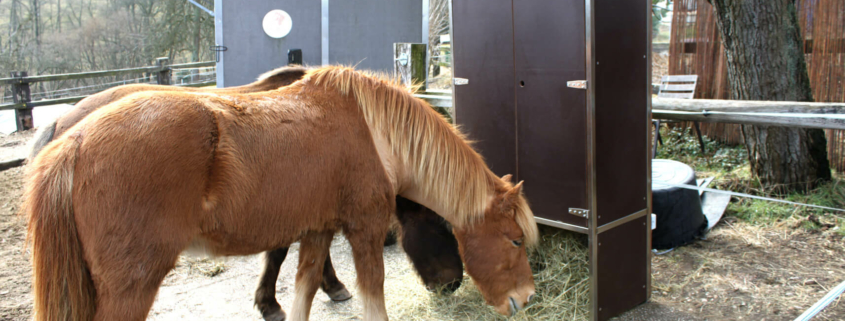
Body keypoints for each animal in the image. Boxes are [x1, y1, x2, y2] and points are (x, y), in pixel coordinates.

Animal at [28, 65, 540, 320]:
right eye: (516, 240)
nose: (527, 297)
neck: (375, 134)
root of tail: (71, 143)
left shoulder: (316, 232)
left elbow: (303, 291)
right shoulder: (364, 232)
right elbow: (371, 300)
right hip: (131, 286)